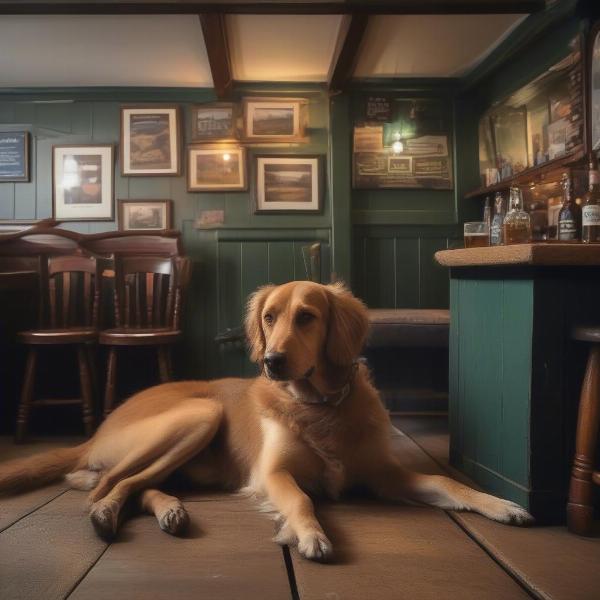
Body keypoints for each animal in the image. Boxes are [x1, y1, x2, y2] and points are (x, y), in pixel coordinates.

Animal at [0, 282, 532, 564]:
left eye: (308, 317)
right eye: (270, 318)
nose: (273, 361)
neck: (320, 406)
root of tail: (95, 431)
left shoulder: (384, 474)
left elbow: (449, 483)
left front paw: (501, 505)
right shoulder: (273, 473)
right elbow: (300, 498)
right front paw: (311, 534)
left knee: (135, 484)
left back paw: (170, 510)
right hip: (200, 414)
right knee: (111, 483)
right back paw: (108, 514)